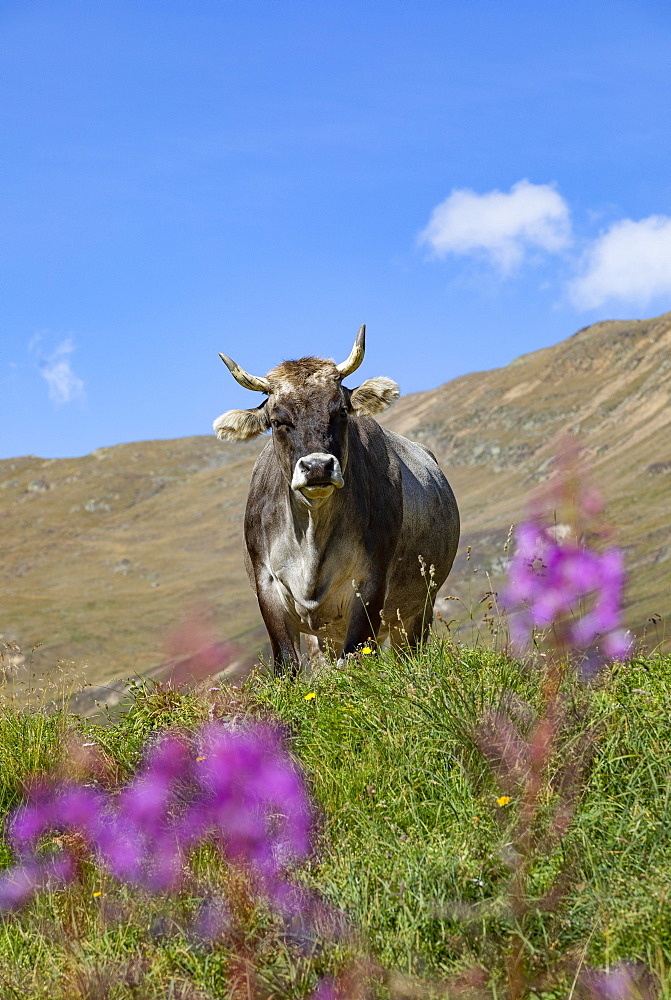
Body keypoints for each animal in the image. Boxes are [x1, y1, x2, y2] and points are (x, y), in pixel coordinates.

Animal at [213, 324, 460, 676]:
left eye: (340, 410)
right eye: (277, 421)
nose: (317, 466)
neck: (311, 537)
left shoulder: (371, 583)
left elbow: (355, 658)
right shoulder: (267, 587)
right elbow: (288, 664)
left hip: (418, 607)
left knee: (407, 653)